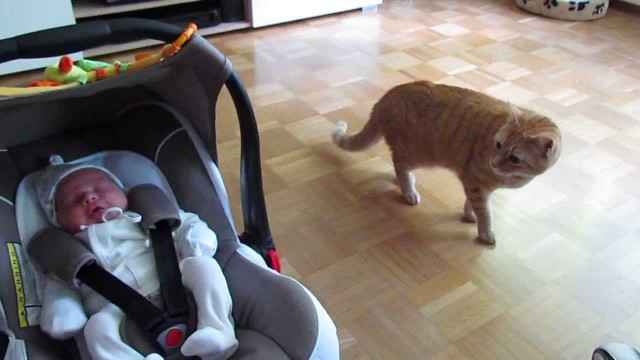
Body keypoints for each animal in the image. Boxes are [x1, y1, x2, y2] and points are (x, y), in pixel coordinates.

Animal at [332, 81, 564, 245]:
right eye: (498, 145)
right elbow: (485, 212)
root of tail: (387, 96)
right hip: (418, 154)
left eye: (515, 158)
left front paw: (470, 214)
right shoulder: (475, 181)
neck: (513, 178)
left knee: (397, 165)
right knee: (399, 164)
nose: (493, 162)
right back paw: (408, 190)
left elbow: (473, 204)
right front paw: (485, 231)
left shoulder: (477, 185)